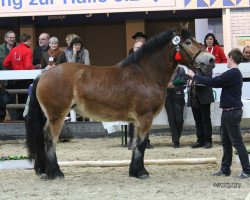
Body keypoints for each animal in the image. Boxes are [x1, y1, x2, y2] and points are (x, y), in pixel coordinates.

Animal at [26, 23, 216, 180]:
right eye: (188, 42)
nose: (211, 60)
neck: (145, 74)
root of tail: (45, 74)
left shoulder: (136, 120)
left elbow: (135, 144)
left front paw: (134, 171)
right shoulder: (144, 117)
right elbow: (141, 145)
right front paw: (142, 172)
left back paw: (44, 171)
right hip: (57, 116)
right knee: (50, 140)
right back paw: (56, 172)